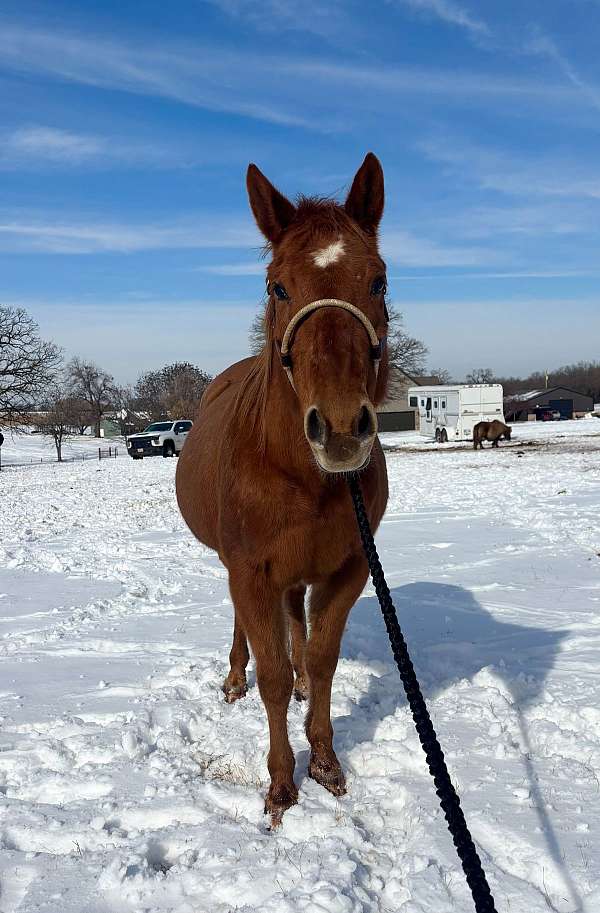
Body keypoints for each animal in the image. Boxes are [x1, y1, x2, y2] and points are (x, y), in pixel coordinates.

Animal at [176, 153, 390, 826]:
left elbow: (320, 659)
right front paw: (280, 784)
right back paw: (233, 680)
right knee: (251, 633)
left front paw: (324, 762)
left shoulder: (348, 568)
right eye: (277, 287)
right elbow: (270, 670)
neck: (300, 474)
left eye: (378, 281)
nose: (342, 428)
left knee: (297, 624)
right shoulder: (249, 571)